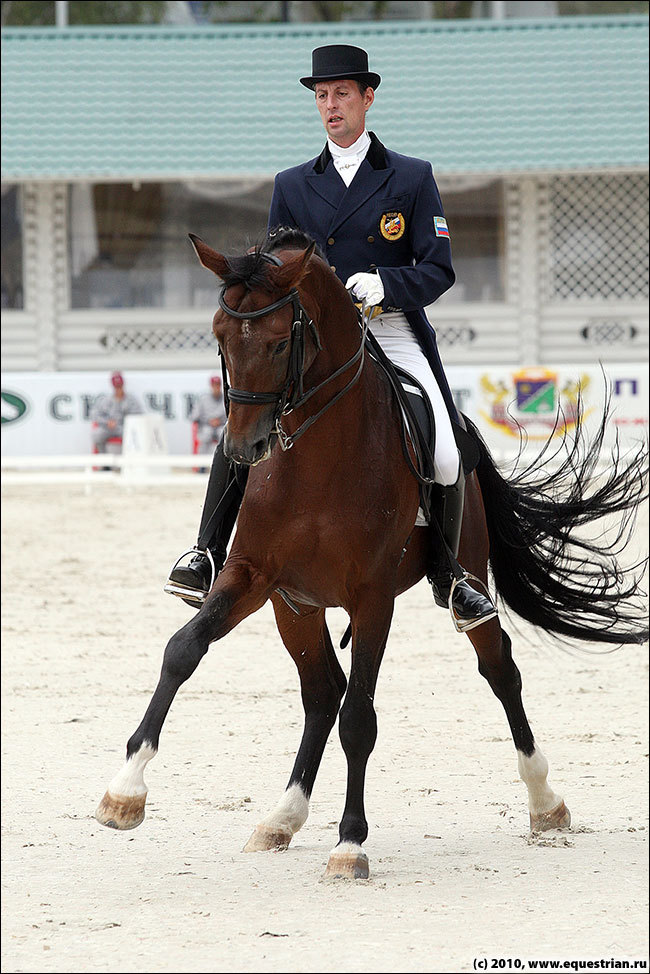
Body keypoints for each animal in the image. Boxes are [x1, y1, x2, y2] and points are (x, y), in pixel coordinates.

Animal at [93, 231, 644, 884]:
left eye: (279, 341)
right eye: (220, 337)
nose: (244, 448)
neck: (314, 457)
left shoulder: (373, 596)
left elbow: (360, 718)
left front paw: (350, 843)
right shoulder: (253, 575)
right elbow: (183, 651)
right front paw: (124, 792)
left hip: (459, 575)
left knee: (497, 669)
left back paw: (545, 802)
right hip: (294, 607)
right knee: (320, 693)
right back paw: (281, 818)